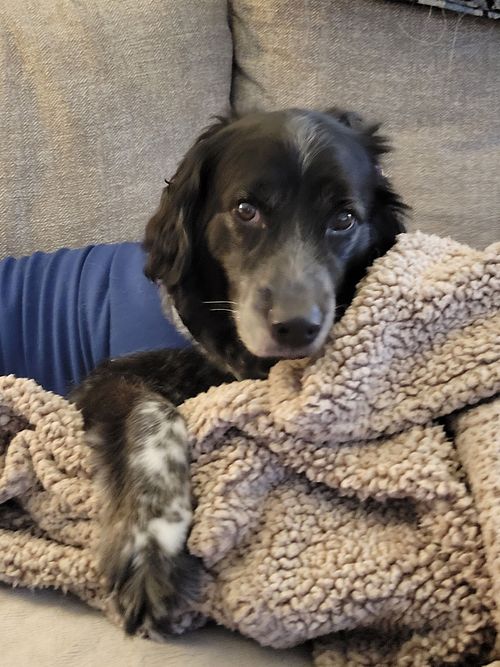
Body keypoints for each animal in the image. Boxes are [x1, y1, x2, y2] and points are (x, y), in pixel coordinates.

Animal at [71, 107, 407, 637]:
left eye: (344, 219)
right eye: (246, 209)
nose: (297, 327)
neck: (204, 308)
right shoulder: (103, 379)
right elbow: (154, 417)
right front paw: (152, 546)